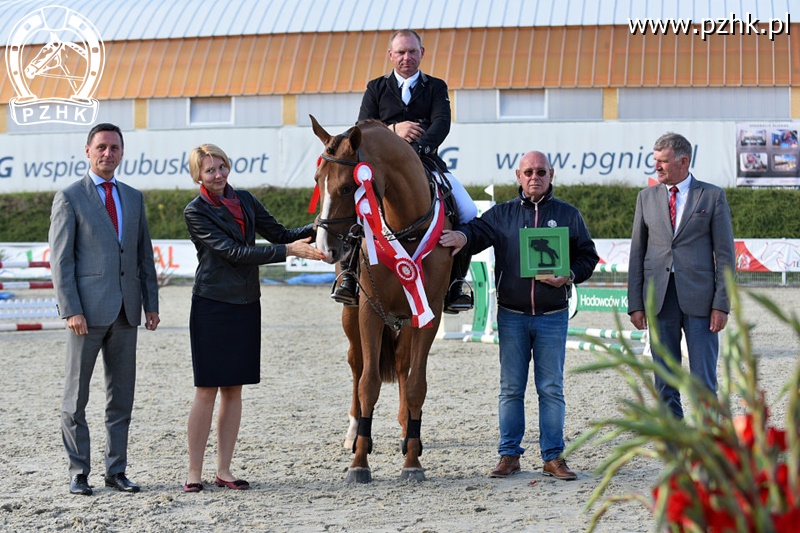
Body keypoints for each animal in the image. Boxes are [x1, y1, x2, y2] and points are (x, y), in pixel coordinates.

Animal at [310, 116, 454, 482]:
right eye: (318, 181)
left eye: (348, 188)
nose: (324, 248)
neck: (405, 227)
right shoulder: (369, 311)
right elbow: (368, 383)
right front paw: (359, 462)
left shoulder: (428, 313)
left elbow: (416, 383)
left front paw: (412, 461)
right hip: (351, 317)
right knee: (356, 363)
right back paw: (353, 432)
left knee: (403, 365)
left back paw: (406, 430)